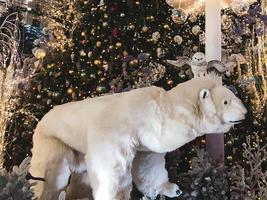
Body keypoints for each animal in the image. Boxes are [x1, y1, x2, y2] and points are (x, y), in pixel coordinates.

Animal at [28, 77, 247, 200]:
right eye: (226, 101)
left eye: (233, 95)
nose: (245, 113)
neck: (156, 110)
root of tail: (43, 117)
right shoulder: (117, 131)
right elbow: (111, 169)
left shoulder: (147, 140)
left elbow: (149, 165)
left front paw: (172, 189)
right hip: (52, 139)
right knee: (52, 176)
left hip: (76, 148)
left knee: (81, 174)